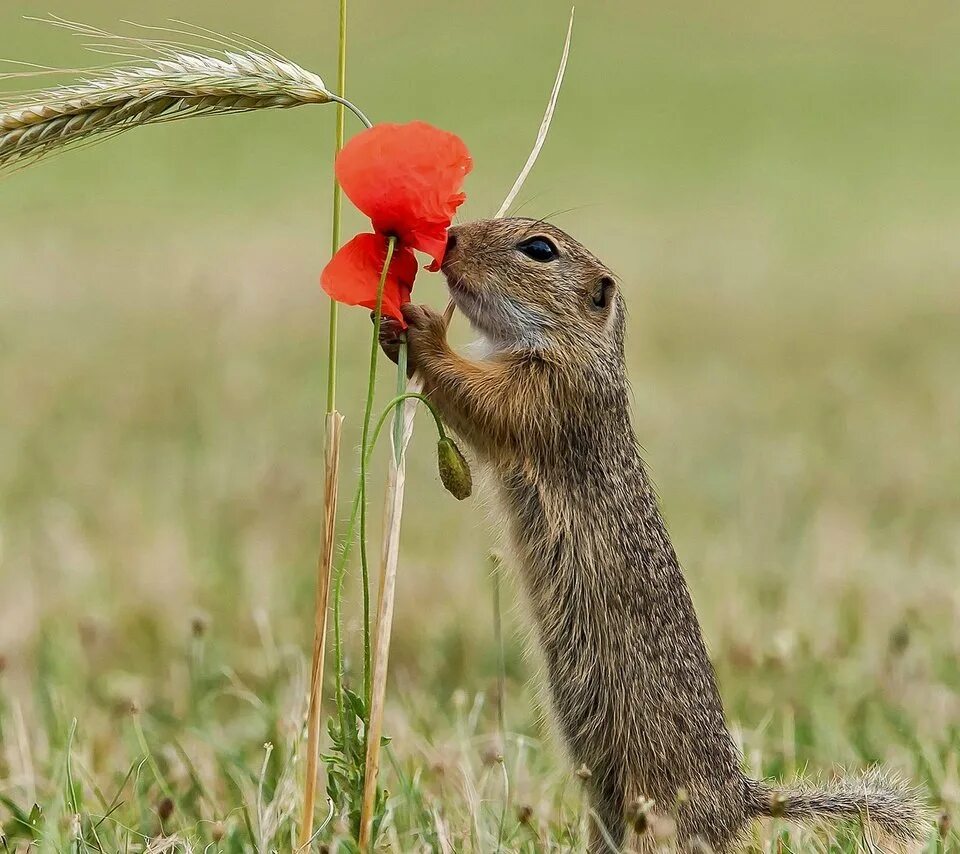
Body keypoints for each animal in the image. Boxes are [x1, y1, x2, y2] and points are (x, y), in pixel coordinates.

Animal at [376, 217, 928, 852]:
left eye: (540, 249)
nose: (448, 241)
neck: (578, 349)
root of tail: (740, 801)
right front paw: (391, 330)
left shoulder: (552, 393)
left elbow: (483, 400)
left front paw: (422, 328)